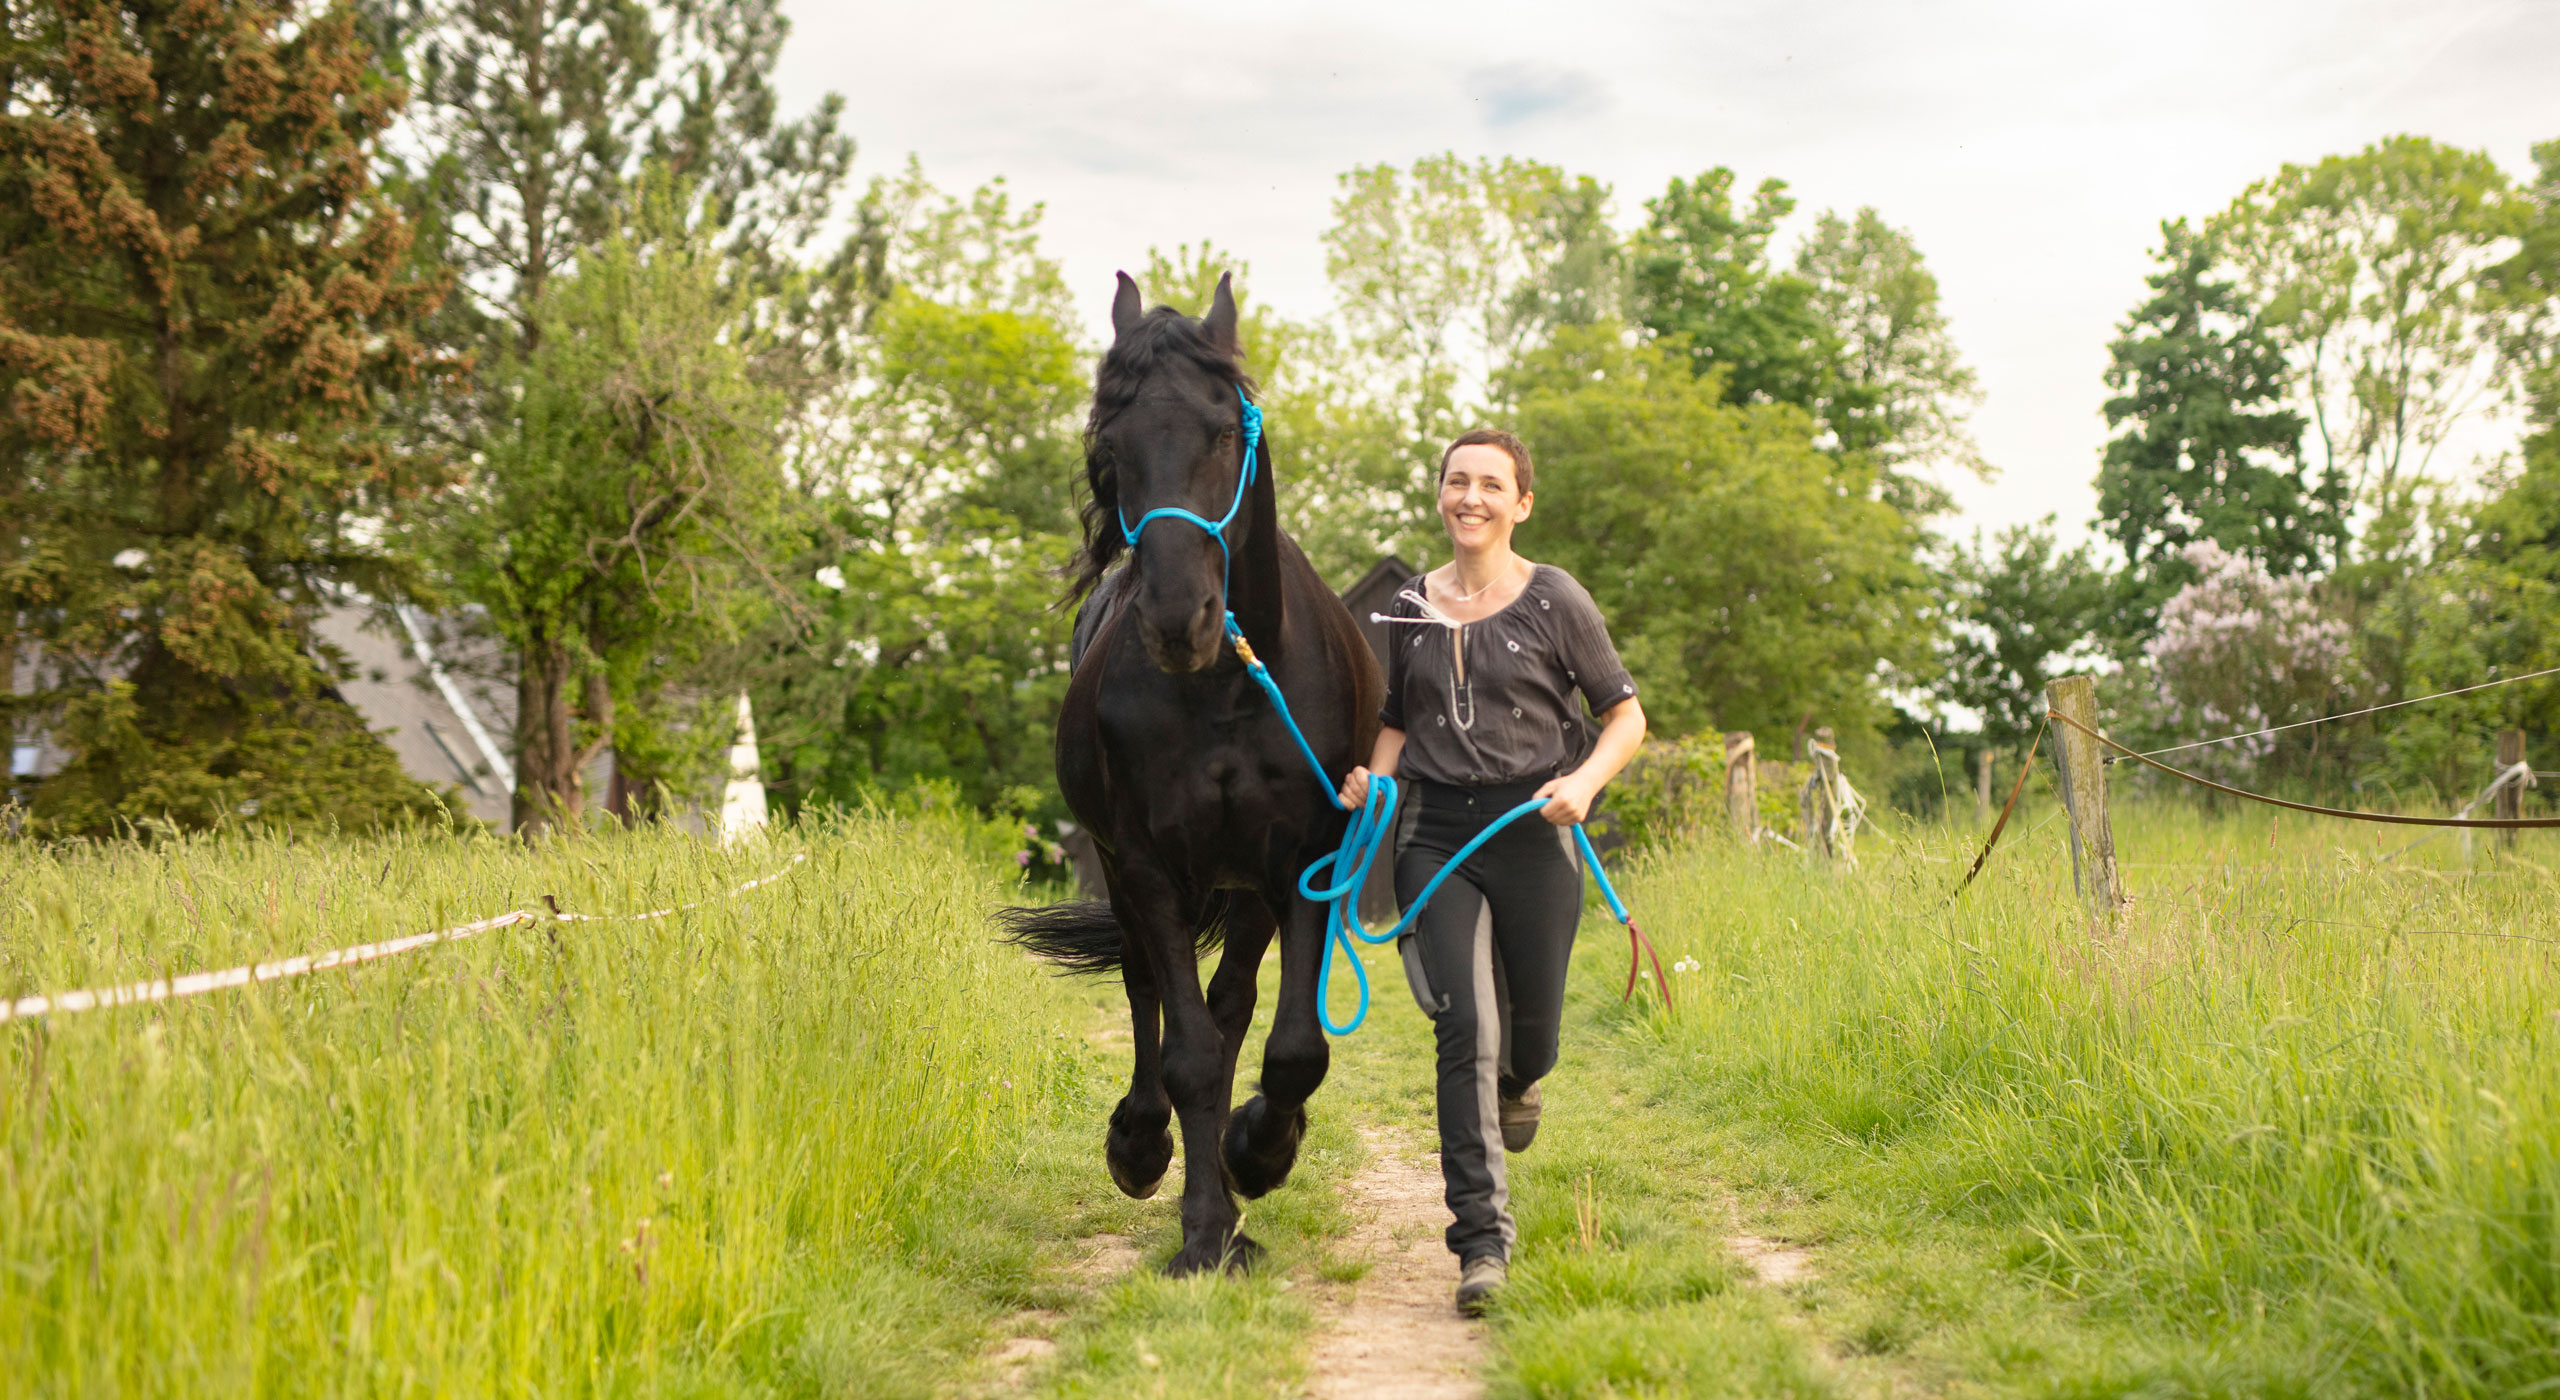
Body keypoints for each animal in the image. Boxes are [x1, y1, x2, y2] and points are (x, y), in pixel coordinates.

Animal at [997, 272, 1383, 1275]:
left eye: (1221, 430)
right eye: (1111, 443)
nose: (1180, 619)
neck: (1224, 693)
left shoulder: (1304, 860)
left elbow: (1290, 1049)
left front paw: (1257, 1156)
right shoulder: (1144, 864)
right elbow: (1189, 1054)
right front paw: (1203, 1227)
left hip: (1246, 889)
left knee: (1234, 1004)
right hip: (1135, 873)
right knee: (1151, 995)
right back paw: (1142, 1142)